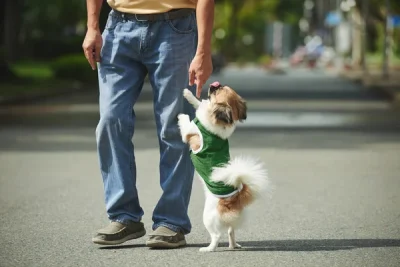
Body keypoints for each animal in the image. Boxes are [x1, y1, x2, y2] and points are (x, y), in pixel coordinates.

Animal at [177, 81, 268, 253]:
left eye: (217, 92)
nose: (214, 85)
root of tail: (235, 199)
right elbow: (199, 103)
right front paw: (188, 94)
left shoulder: (188, 134)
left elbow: (188, 121)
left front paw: (182, 115)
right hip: (229, 224)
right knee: (231, 231)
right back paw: (234, 246)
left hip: (208, 217)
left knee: (217, 236)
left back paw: (208, 249)